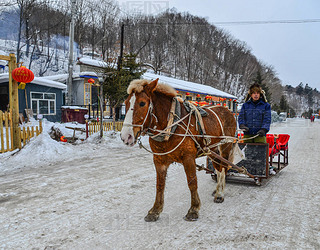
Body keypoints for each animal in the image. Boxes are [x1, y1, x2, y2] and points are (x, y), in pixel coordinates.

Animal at [120, 78, 235, 221]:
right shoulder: (159, 160)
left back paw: (220, 193)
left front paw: (194, 209)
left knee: (224, 167)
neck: (170, 125)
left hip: (225, 147)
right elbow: (160, 185)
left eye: (142, 103)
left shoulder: (188, 158)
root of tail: (227, 110)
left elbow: (192, 182)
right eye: (126, 102)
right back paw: (217, 190)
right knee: (218, 168)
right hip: (212, 149)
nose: (126, 136)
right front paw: (155, 210)